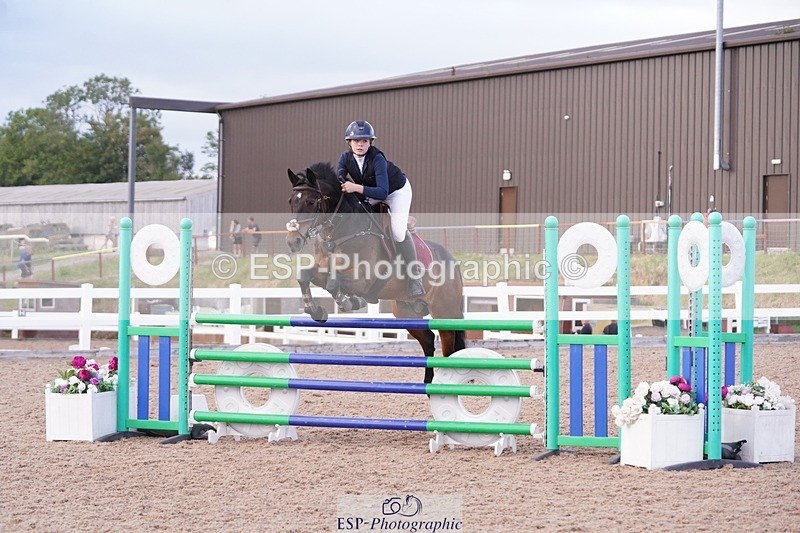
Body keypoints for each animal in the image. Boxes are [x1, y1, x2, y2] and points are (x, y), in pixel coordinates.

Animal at [286, 162, 466, 383]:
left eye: (311, 201)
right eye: (291, 201)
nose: (293, 242)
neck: (338, 233)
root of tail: (453, 262)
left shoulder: (363, 280)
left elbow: (333, 283)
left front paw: (349, 302)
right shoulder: (322, 269)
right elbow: (305, 276)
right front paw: (315, 310)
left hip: (444, 312)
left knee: (448, 347)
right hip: (406, 312)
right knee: (429, 339)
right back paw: (428, 383)